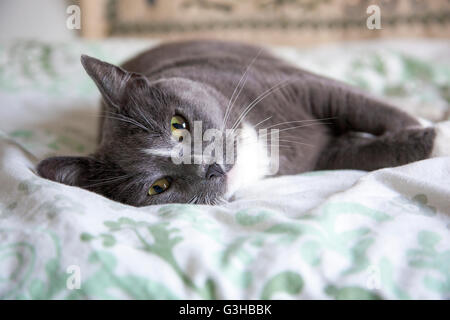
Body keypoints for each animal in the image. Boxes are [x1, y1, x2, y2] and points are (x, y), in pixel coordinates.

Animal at [37, 40, 442, 206]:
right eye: (158, 187)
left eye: (178, 124)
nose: (210, 168)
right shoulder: (321, 155)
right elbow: (370, 152)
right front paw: (434, 138)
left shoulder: (303, 85)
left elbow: (369, 108)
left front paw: (438, 130)